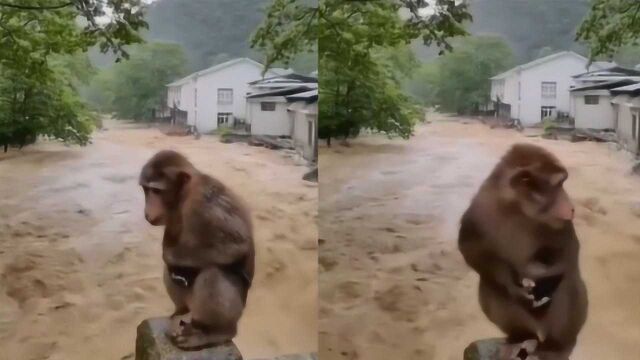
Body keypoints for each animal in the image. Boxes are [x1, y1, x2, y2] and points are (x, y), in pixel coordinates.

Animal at [139, 150, 254, 350]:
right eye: (146, 190)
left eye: (156, 191)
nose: (148, 212)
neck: (183, 197)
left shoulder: (204, 202)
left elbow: (237, 244)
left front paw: (170, 255)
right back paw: (180, 311)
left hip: (236, 309)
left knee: (213, 273)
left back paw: (216, 331)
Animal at [458, 143, 588, 360]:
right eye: (558, 185)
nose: (570, 207)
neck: (517, 208)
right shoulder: (479, 209)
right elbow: (471, 249)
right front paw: (514, 286)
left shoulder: (560, 224)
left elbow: (569, 251)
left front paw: (545, 283)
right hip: (528, 321)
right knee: (490, 285)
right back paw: (521, 335)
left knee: (568, 283)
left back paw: (556, 346)